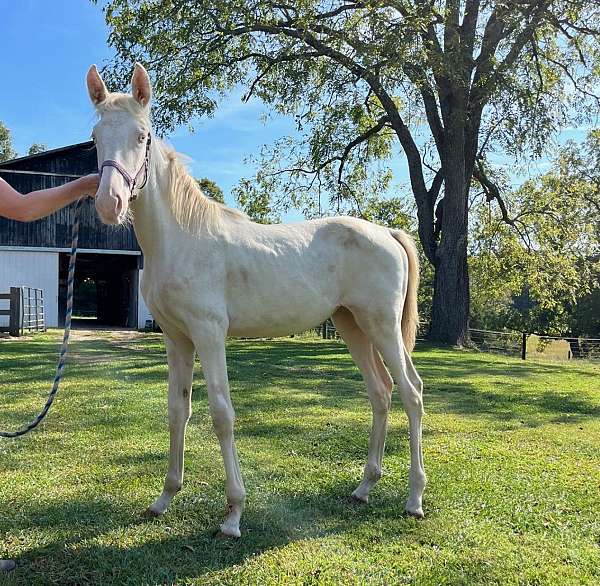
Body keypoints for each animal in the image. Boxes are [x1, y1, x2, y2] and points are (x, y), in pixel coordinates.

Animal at [85, 62, 426, 532]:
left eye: (141, 136)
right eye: (95, 138)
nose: (109, 204)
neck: (182, 238)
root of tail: (387, 233)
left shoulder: (209, 335)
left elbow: (222, 414)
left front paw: (233, 513)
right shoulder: (176, 339)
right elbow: (177, 411)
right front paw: (164, 498)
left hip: (382, 325)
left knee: (411, 392)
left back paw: (414, 498)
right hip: (351, 325)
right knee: (381, 392)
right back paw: (363, 488)